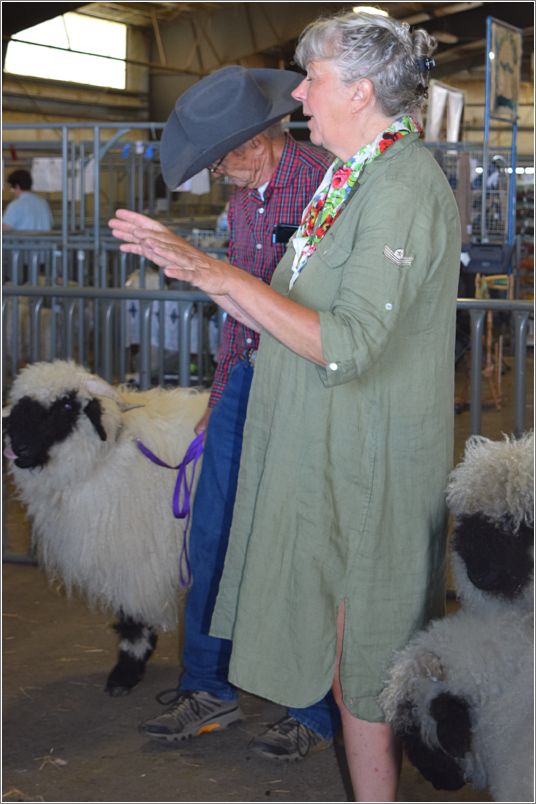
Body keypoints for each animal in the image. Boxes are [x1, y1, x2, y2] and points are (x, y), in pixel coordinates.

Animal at [3, 362, 209, 696]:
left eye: (66, 405)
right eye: (20, 405)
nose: (17, 447)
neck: (104, 458)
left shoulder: (133, 557)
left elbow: (133, 617)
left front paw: (126, 672)